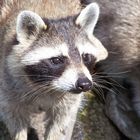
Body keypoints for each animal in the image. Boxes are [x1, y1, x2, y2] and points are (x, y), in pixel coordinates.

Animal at [0, 0, 108, 139]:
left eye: (85, 57)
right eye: (57, 60)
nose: (85, 84)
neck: (49, 86)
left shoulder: (67, 100)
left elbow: (60, 123)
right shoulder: (8, 84)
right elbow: (14, 119)